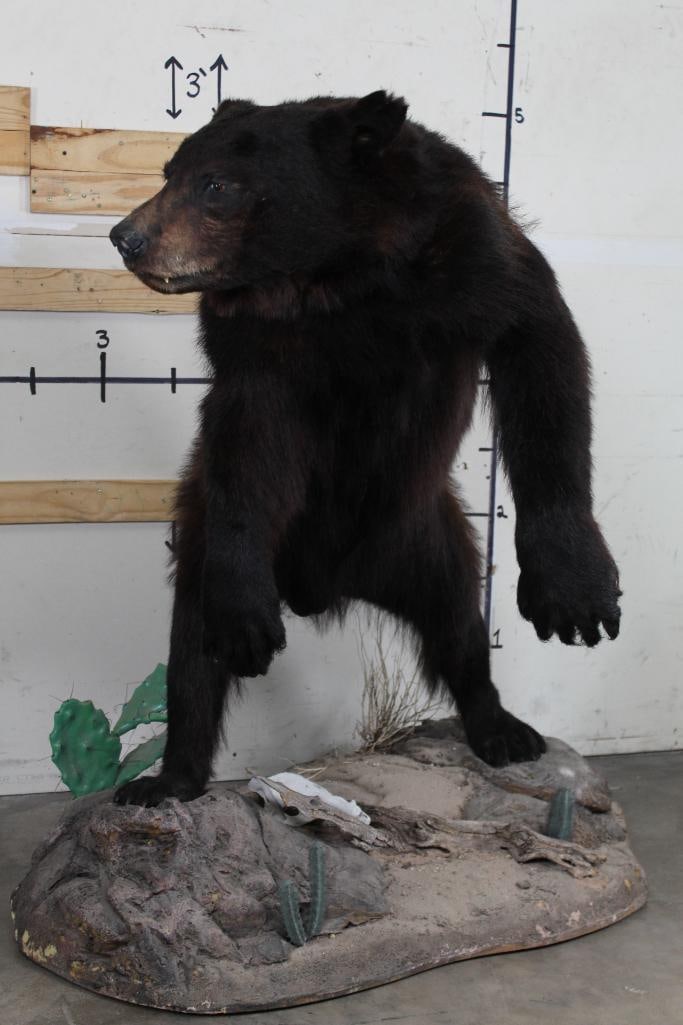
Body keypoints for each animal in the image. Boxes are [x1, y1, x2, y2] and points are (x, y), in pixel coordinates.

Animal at [110, 91, 621, 807]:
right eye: (169, 173)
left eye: (217, 185)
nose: (126, 236)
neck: (335, 272)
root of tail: (328, 585)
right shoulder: (255, 338)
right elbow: (246, 440)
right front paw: (245, 626)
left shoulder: (472, 256)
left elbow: (542, 353)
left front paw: (575, 597)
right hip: (208, 543)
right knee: (192, 650)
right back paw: (168, 778)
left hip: (428, 537)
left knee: (459, 626)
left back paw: (502, 728)